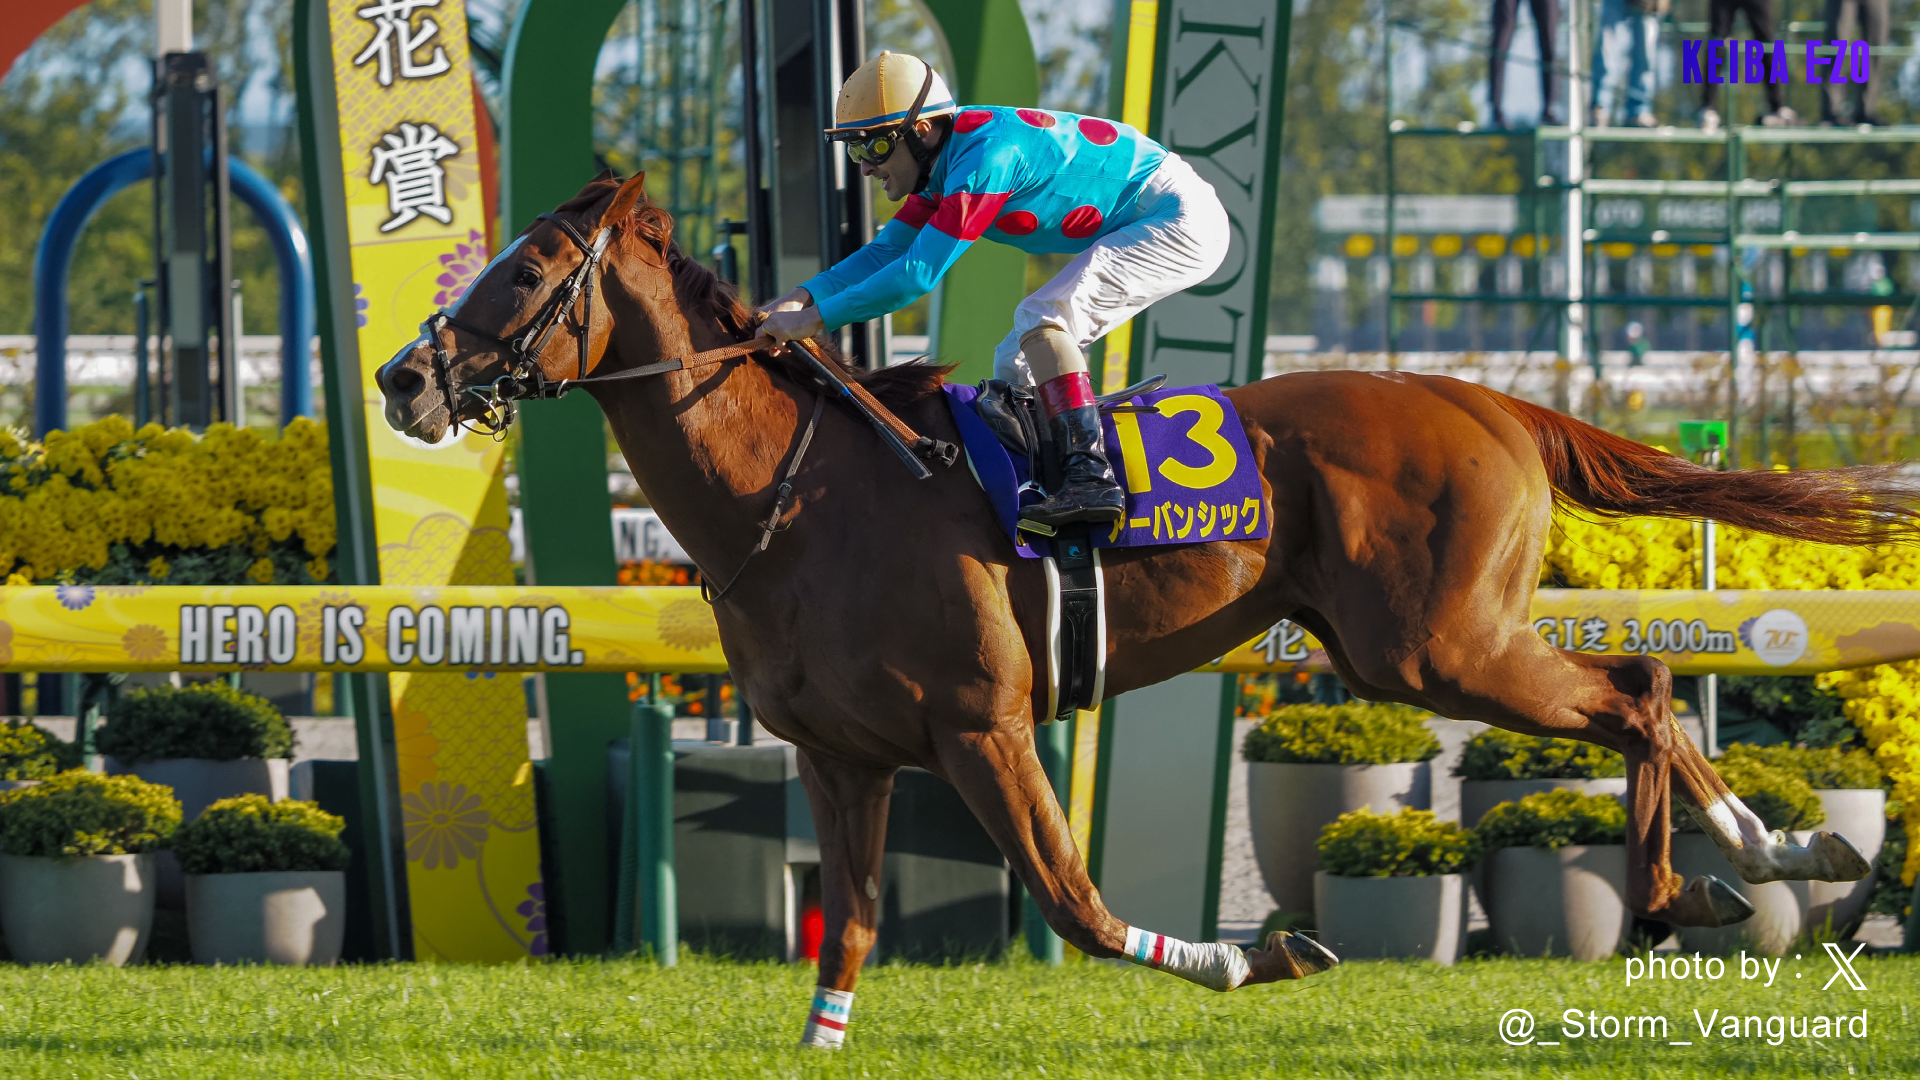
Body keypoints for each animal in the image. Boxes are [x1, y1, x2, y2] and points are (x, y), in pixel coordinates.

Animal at [377, 173, 1897, 1040]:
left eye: (528, 271)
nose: (402, 379)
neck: (801, 495)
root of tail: (1486, 398)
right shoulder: (843, 755)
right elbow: (852, 927)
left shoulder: (983, 728)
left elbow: (1076, 901)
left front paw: (1256, 959)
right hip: (1417, 648)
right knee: (1644, 694)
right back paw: (1750, 860)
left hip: (1432, 647)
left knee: (1638, 693)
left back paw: (1717, 875)